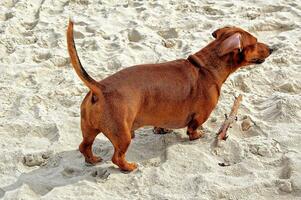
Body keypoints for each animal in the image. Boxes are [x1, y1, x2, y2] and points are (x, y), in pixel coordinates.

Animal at [66, 19, 272, 171]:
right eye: (255, 42)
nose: (272, 48)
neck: (206, 66)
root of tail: (100, 87)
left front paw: (161, 129)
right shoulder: (200, 115)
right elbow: (193, 129)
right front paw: (197, 135)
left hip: (89, 129)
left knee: (84, 146)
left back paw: (93, 160)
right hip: (122, 136)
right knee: (117, 158)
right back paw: (129, 167)